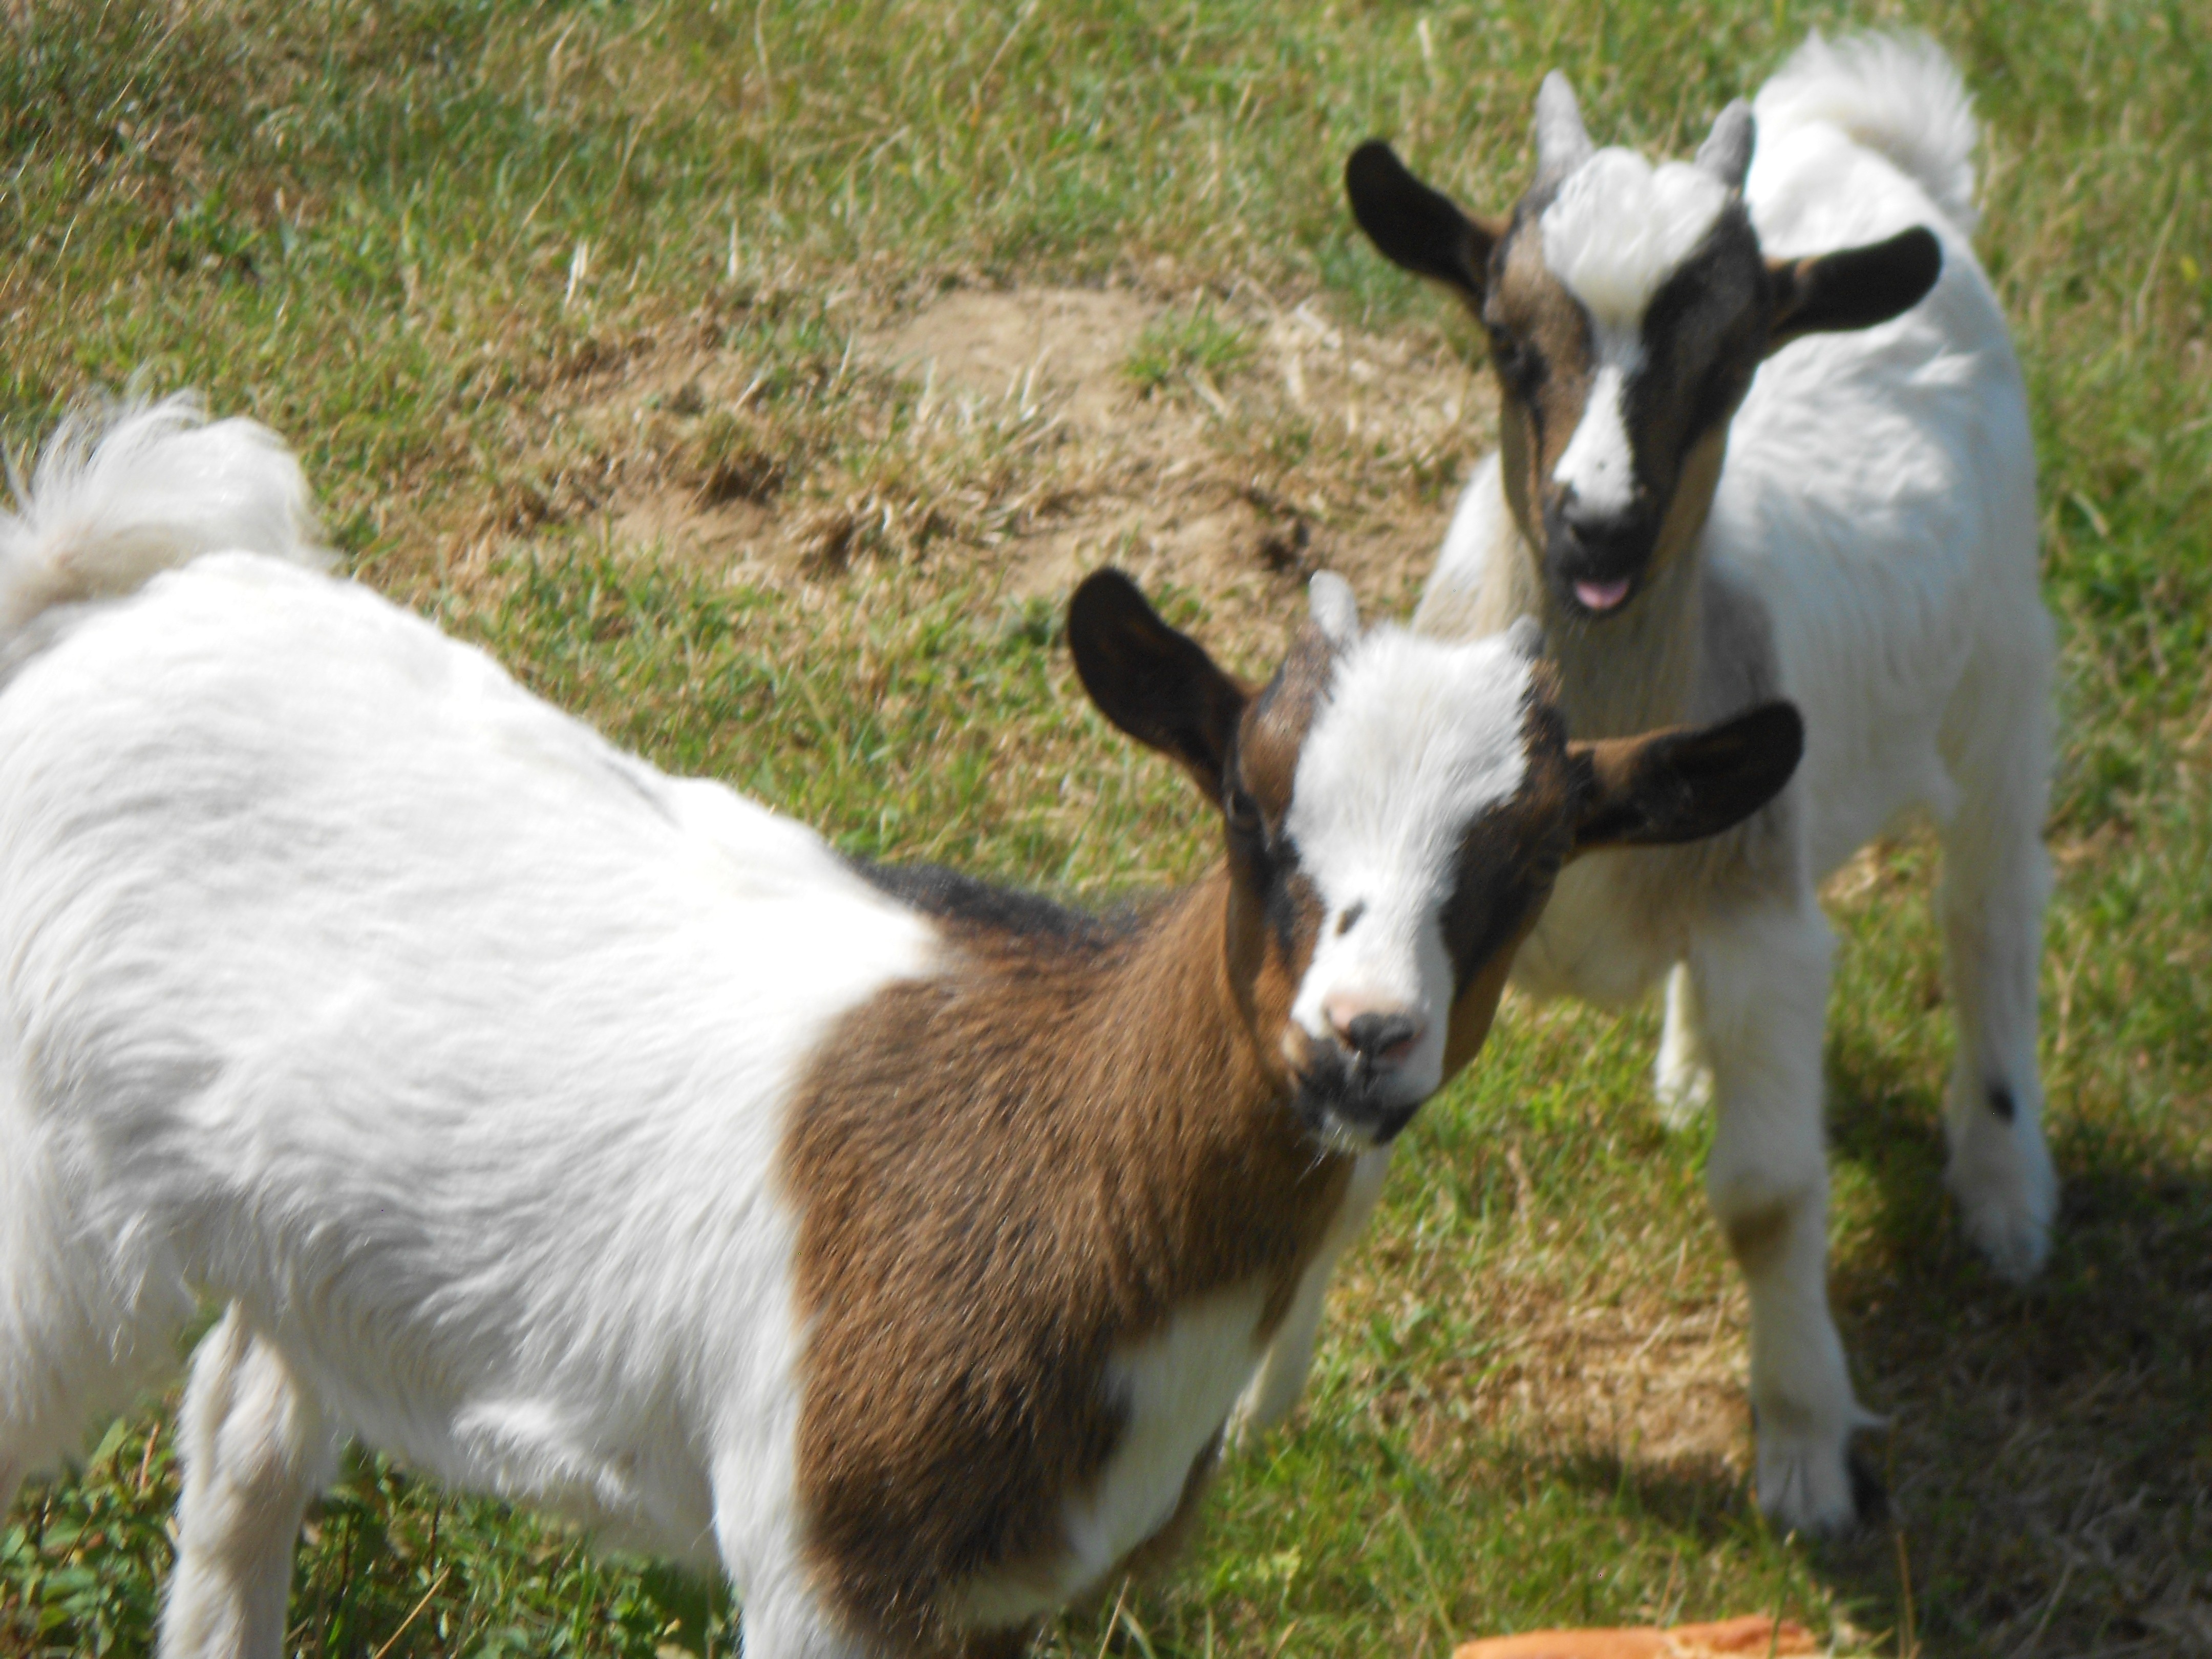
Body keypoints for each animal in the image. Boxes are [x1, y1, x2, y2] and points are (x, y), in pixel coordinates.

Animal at [0, 398, 1802, 1658]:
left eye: (1531, 863)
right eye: (1251, 810)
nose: (1362, 1038)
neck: (1063, 1165)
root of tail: (120, 601)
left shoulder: (1021, 1595)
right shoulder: (823, 1560)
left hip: (303, 1236)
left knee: (244, 1420)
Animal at [1285, 32, 2055, 1534]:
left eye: (1733, 363)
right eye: (1507, 340)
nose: (1600, 526)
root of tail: (1867, 145)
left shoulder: (1763, 926)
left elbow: (1766, 1197)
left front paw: (1806, 1449)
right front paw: (1243, 1412)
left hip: (2003, 657)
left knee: (1989, 905)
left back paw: (2005, 1193)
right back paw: (1694, 1063)